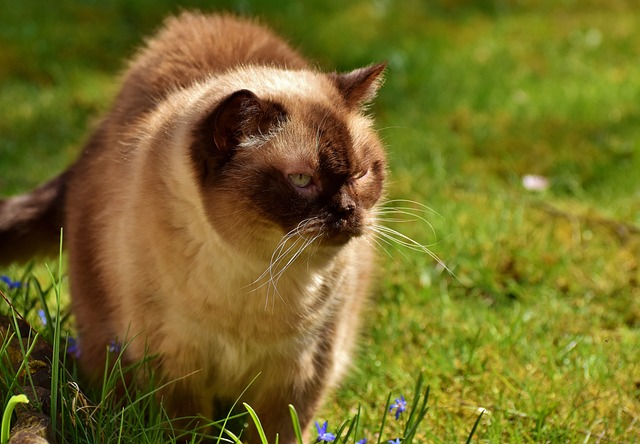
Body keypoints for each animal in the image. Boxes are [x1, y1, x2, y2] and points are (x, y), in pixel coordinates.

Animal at [0, 12, 388, 442]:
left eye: (361, 173)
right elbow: (187, 430)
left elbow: (276, 431)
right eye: (302, 180)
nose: (349, 211)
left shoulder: (301, 370)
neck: (257, 272)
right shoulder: (174, 367)